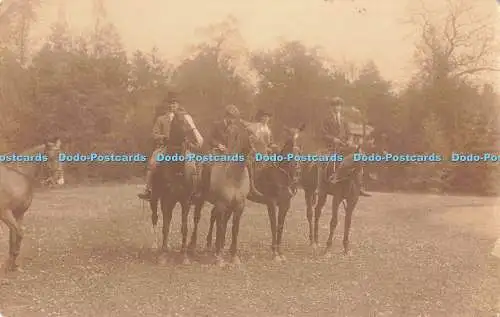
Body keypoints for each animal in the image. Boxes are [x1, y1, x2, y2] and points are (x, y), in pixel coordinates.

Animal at [0, 138, 64, 272]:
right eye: (49, 157)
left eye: (61, 155)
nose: (60, 180)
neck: (18, 178)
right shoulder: (5, 213)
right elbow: (19, 234)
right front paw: (9, 263)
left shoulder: (18, 213)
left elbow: (13, 237)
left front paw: (12, 264)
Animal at [148, 108, 203, 264]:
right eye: (181, 120)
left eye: (191, 119)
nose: (199, 140)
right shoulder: (166, 200)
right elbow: (165, 226)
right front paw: (163, 255)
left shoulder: (185, 201)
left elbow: (184, 227)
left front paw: (184, 255)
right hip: (155, 199)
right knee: (155, 217)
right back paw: (155, 245)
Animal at [188, 118, 256, 264]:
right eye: (250, 134)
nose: (256, 154)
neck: (234, 176)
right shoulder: (222, 204)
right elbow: (220, 227)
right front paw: (219, 256)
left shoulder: (238, 206)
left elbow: (233, 228)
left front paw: (233, 255)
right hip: (201, 201)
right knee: (197, 219)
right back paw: (193, 245)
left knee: (215, 217)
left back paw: (211, 244)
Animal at [203, 122, 304, 260]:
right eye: (290, 144)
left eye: (299, 144)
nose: (296, 168)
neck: (279, 175)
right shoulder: (271, 203)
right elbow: (273, 225)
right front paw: (274, 252)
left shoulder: (285, 205)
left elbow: (280, 226)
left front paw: (280, 252)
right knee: (215, 216)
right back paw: (211, 245)